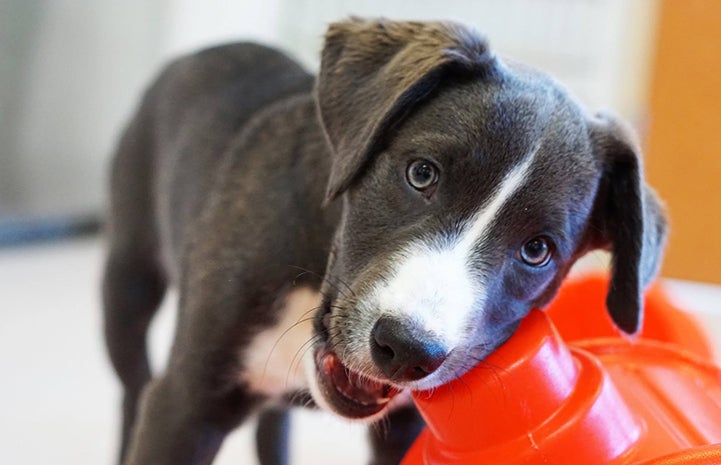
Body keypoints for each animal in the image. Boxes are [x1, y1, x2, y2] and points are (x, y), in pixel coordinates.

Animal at [104, 18, 668, 464]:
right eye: (421, 174)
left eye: (537, 251)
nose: (407, 349)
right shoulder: (185, 405)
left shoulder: (403, 430)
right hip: (128, 280)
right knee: (133, 387)